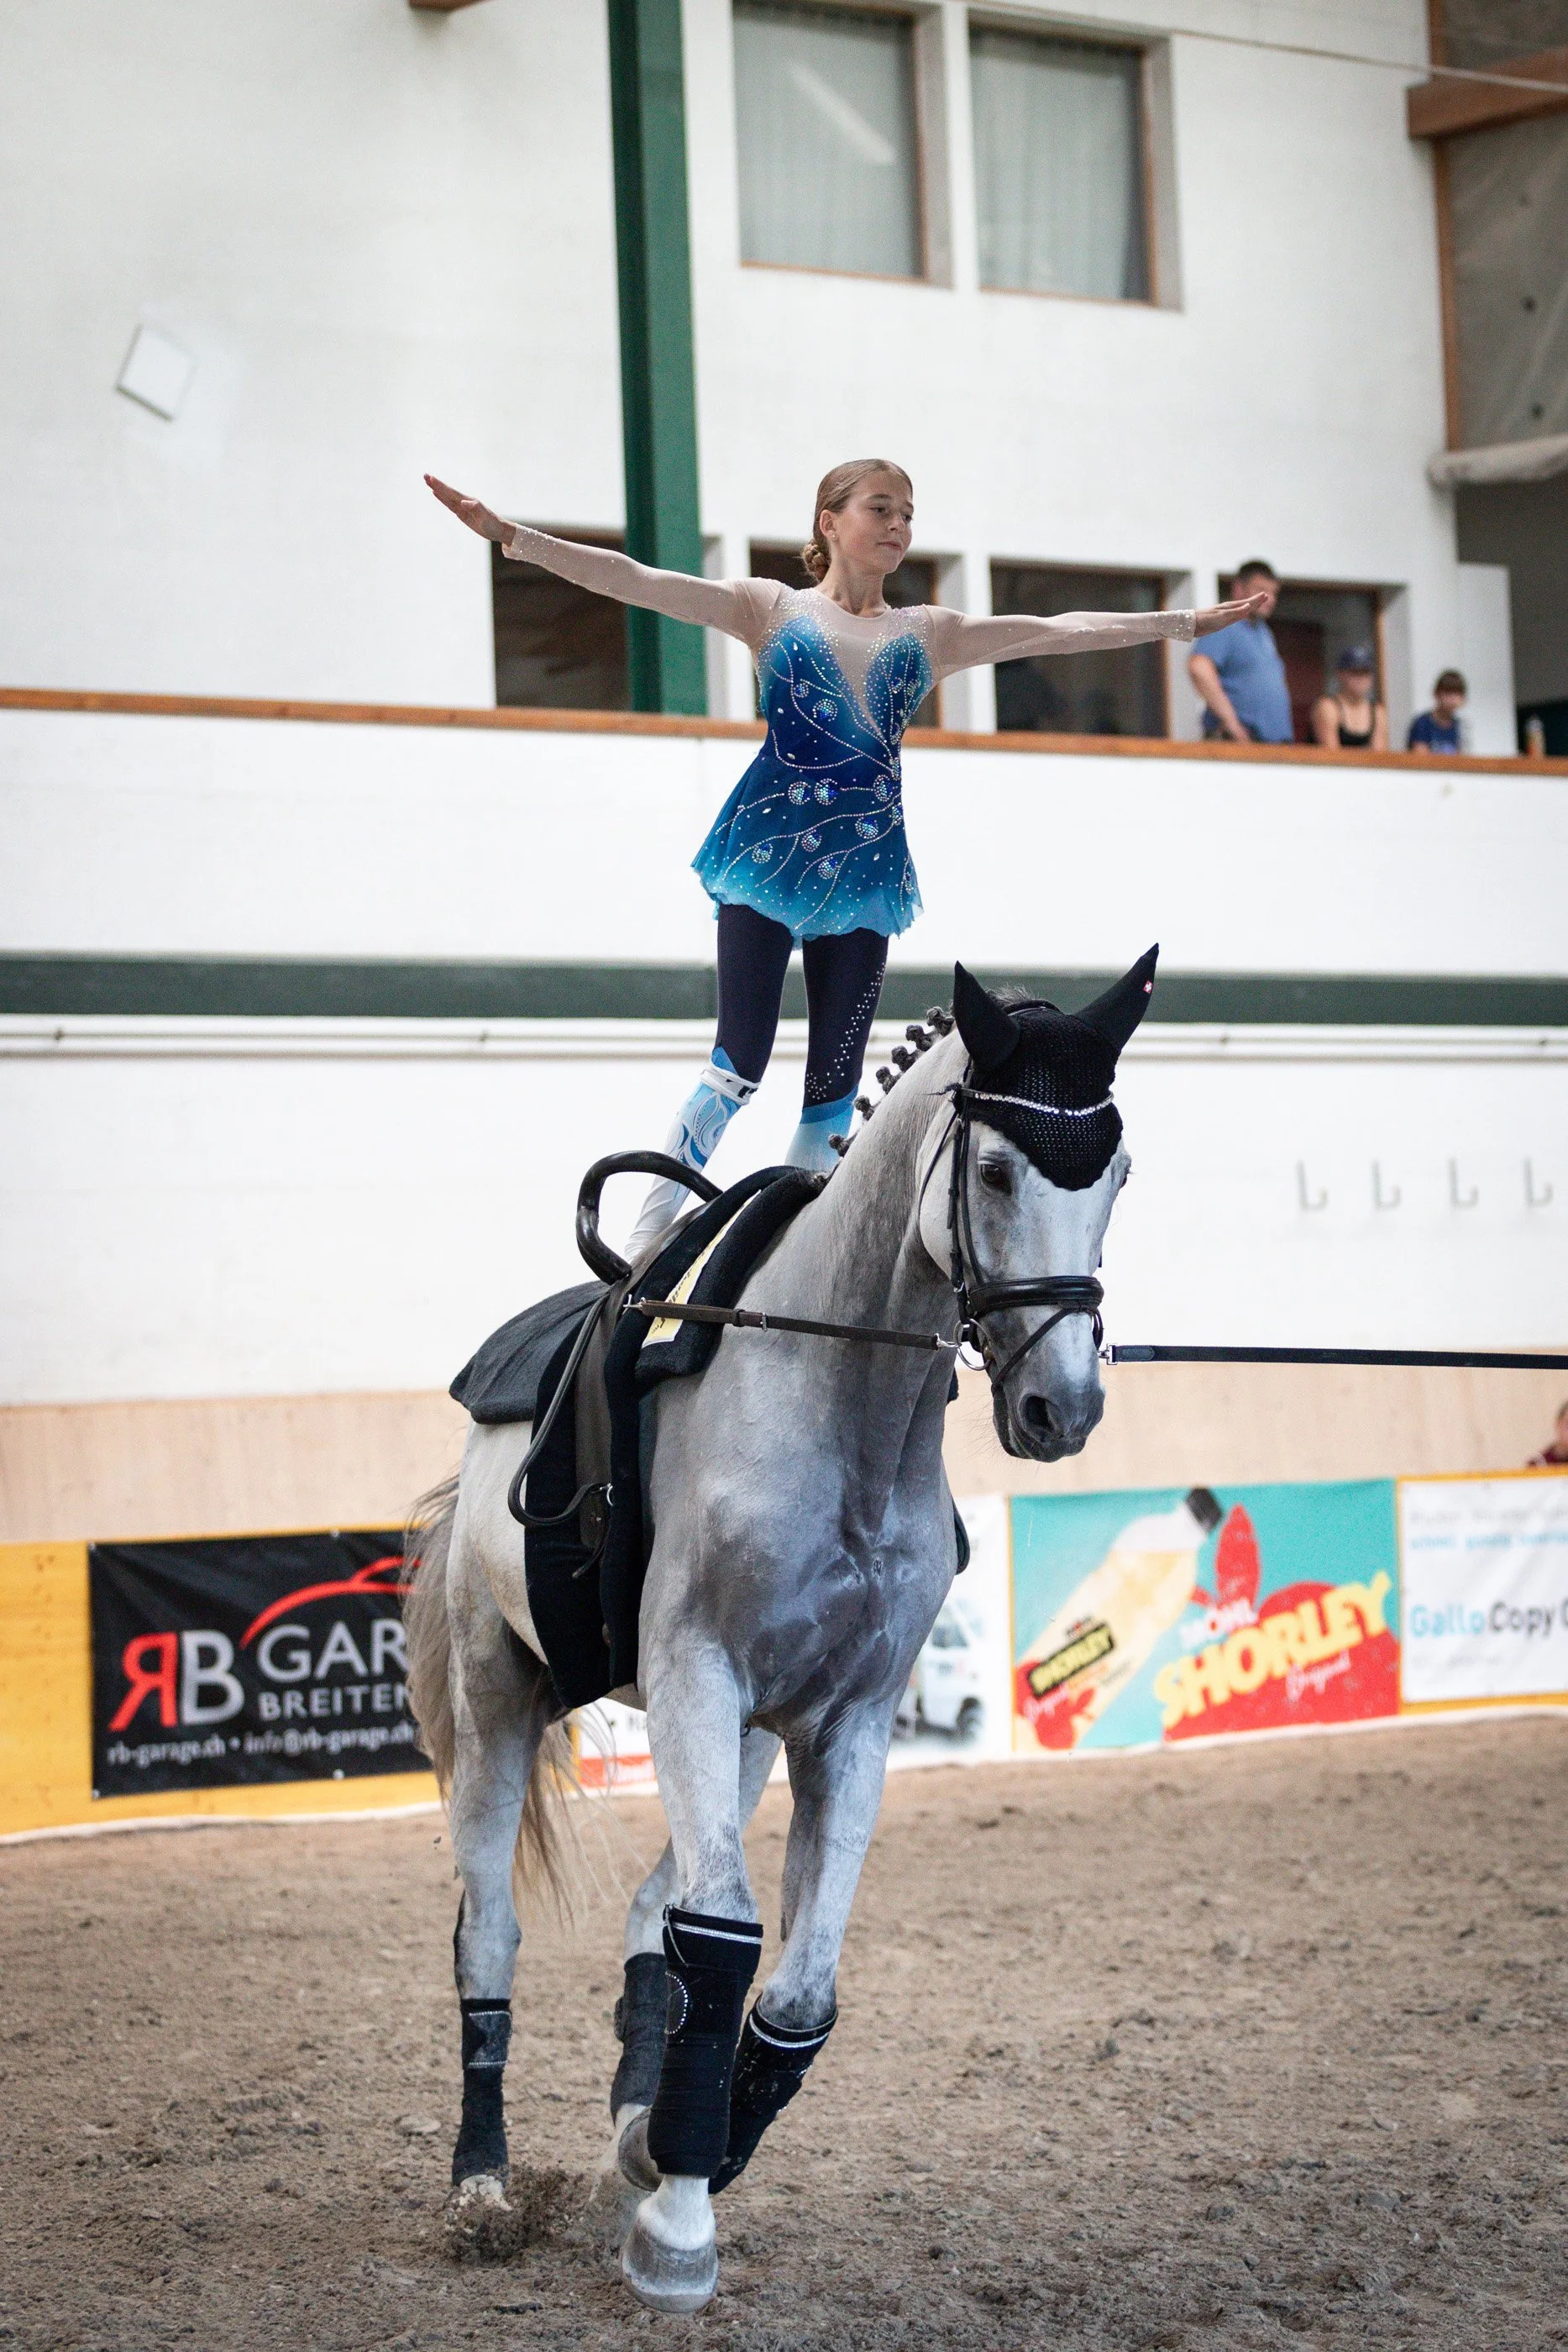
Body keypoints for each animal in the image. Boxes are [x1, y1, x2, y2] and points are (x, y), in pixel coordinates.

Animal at [401, 952, 1157, 2314]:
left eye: (1116, 1170)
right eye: (994, 1169)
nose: (1058, 1405)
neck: (840, 1401)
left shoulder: (843, 1721)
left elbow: (792, 1986)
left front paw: (679, 2149)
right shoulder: (698, 1675)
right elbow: (721, 1935)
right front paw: (677, 2229)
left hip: (743, 1739)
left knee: (653, 1912)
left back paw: (634, 2126)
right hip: (502, 1705)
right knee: (492, 1935)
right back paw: (481, 2188)